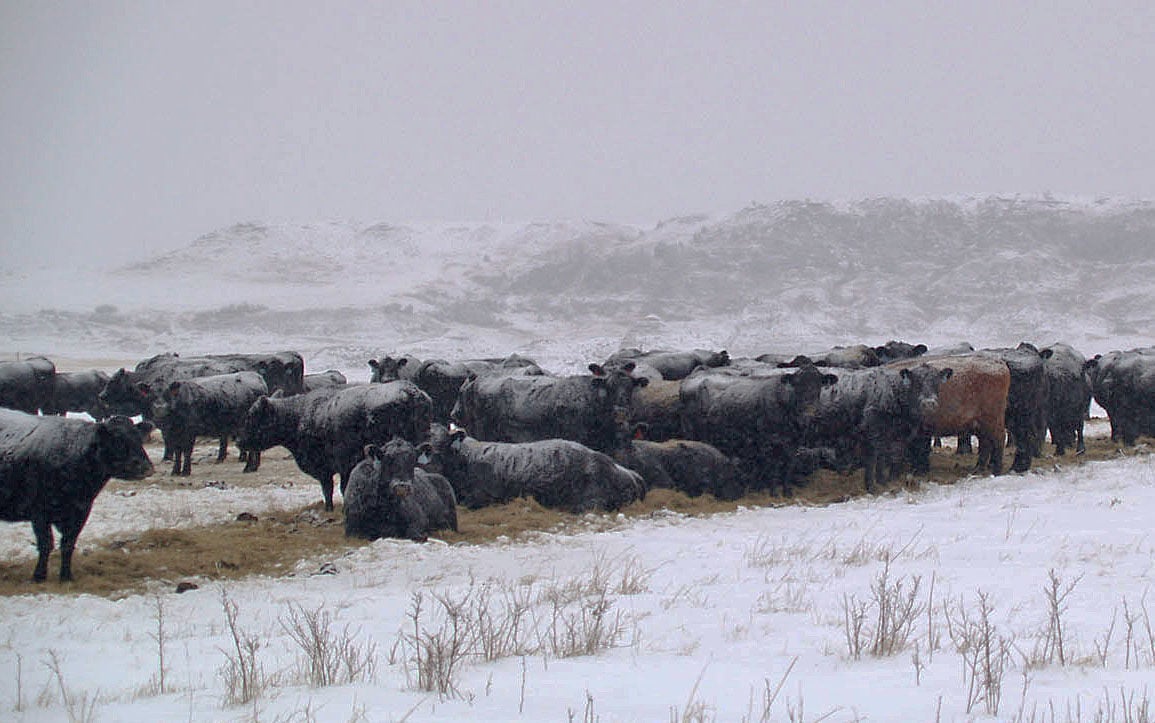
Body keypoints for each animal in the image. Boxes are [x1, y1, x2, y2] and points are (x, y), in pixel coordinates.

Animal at [0, 410, 153, 581]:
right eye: (117, 441)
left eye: (139, 439)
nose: (146, 467)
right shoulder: (39, 512)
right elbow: (46, 544)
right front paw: (39, 576)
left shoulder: (81, 511)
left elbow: (68, 544)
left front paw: (66, 576)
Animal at [236, 381, 433, 510]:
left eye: (252, 415)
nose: (239, 441)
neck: (300, 415)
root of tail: (411, 391)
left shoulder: (329, 467)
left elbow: (331, 488)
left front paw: (330, 508)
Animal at [678, 362, 839, 495]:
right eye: (798, 385)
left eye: (819, 384)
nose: (810, 411)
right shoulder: (767, 441)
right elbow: (772, 465)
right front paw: (771, 491)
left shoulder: (793, 444)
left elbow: (788, 465)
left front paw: (787, 491)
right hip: (692, 432)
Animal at [803, 364, 953, 493]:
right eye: (916, 382)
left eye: (937, 382)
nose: (929, 403)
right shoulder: (873, 433)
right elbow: (874, 459)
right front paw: (872, 486)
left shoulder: (894, 438)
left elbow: (889, 458)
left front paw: (886, 482)